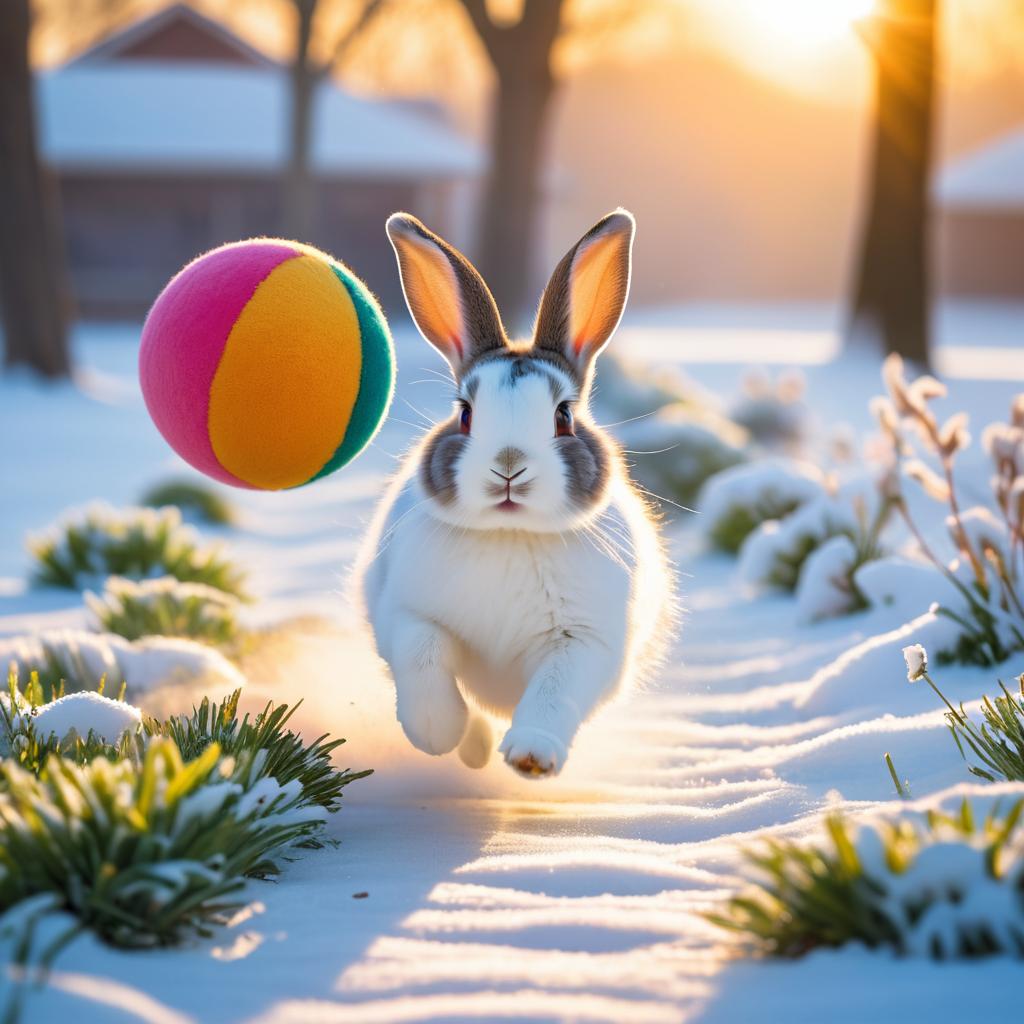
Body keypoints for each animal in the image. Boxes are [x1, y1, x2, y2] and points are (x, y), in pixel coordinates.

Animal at [356, 211, 675, 778]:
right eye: (465, 414)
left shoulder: (582, 643)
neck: (511, 532)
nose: (508, 467)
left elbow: (554, 693)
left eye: (563, 417)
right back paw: (472, 748)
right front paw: (437, 731)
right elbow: (422, 657)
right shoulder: (407, 615)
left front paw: (531, 758)